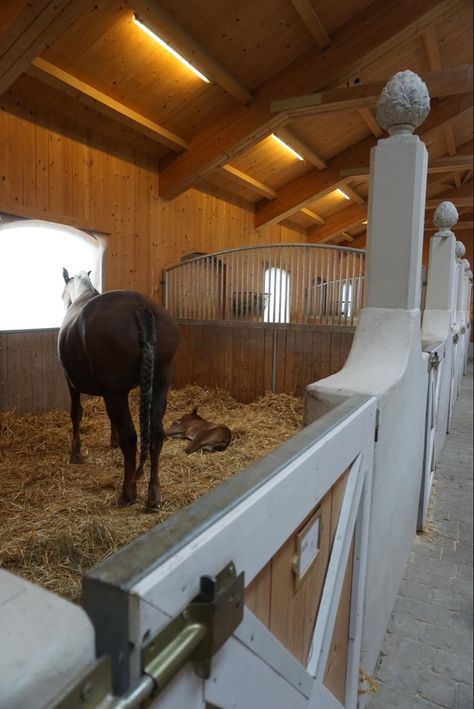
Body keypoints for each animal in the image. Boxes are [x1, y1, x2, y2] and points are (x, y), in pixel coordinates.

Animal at [57, 268, 180, 506]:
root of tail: (141, 308)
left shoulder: (73, 383)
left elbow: (76, 414)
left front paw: (76, 453)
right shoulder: (116, 392)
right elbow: (112, 418)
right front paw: (112, 441)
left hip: (114, 392)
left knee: (130, 437)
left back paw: (128, 492)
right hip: (159, 384)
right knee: (156, 433)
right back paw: (153, 494)